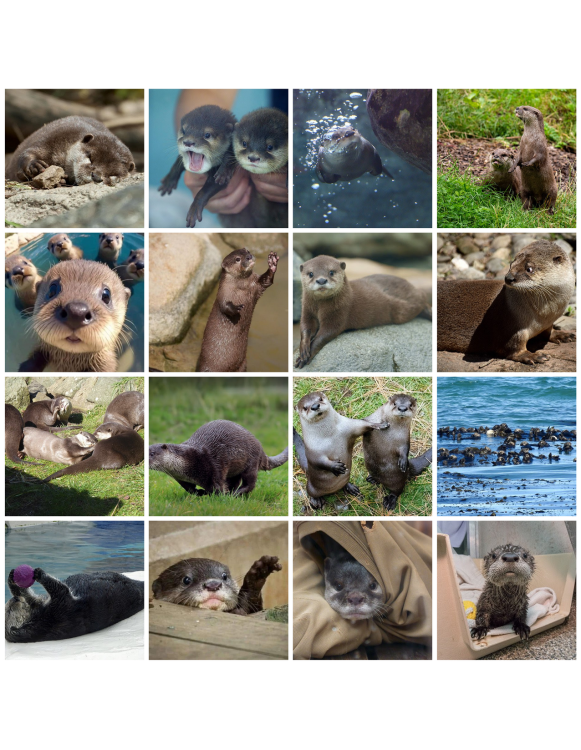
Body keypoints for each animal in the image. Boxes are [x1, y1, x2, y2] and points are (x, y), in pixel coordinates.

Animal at [5, 116, 135, 186]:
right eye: (90, 158)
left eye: (113, 174)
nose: (96, 177)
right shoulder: (54, 136)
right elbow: (29, 153)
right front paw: (35, 165)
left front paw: (61, 180)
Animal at [5, 567, 144, 643]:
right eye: (9, 611)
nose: (15, 600)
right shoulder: (56, 612)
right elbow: (59, 589)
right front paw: (40, 574)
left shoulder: (38, 604)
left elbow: (28, 595)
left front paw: (12, 578)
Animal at [149, 419, 287, 496]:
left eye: (152, 453)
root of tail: (261, 448)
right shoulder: (181, 478)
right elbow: (190, 489)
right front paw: (200, 493)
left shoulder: (213, 465)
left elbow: (217, 487)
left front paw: (218, 497)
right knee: (234, 481)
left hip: (252, 462)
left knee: (250, 483)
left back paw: (235, 494)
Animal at [296, 255, 431, 368]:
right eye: (311, 274)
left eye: (331, 272)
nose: (321, 281)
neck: (320, 308)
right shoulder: (307, 310)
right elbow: (305, 328)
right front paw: (303, 349)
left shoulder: (339, 312)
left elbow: (325, 334)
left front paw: (305, 356)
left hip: (404, 309)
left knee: (422, 297)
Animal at [437, 240, 576, 365]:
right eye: (511, 264)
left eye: (529, 269)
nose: (509, 278)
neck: (544, 315)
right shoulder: (512, 328)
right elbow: (512, 348)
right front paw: (533, 356)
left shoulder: (547, 323)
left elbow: (548, 332)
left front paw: (562, 335)